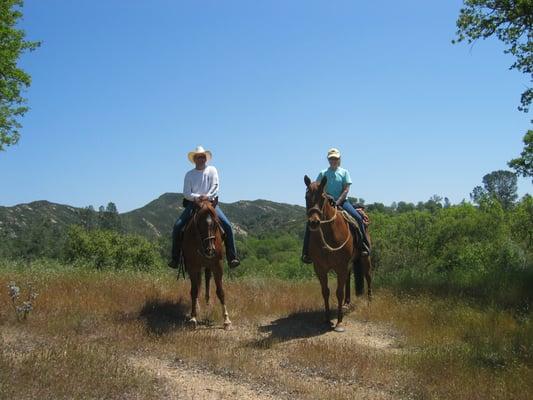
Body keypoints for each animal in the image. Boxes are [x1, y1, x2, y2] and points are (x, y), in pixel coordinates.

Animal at [181, 198, 231, 330]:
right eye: (199, 223)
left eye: (216, 223)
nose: (210, 250)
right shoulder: (193, 267)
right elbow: (194, 291)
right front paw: (193, 317)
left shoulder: (217, 265)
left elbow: (221, 292)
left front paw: (226, 320)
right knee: (197, 286)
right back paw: (196, 307)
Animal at [306, 175, 372, 332]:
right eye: (306, 197)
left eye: (322, 197)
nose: (313, 222)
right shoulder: (320, 268)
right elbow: (325, 291)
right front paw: (326, 319)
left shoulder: (340, 266)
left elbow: (338, 292)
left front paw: (339, 322)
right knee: (348, 279)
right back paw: (347, 303)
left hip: (365, 258)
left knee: (368, 276)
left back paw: (369, 301)